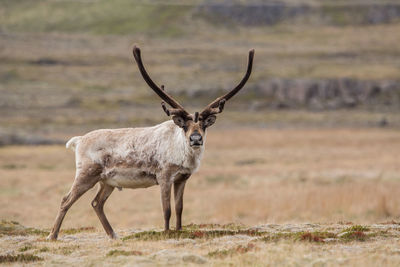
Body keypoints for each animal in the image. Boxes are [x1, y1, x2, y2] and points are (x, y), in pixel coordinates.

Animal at [46, 46, 253, 241]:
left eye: (204, 124)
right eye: (184, 125)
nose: (195, 139)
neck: (182, 153)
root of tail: (79, 140)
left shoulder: (182, 178)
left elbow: (179, 208)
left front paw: (179, 231)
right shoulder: (164, 177)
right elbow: (166, 209)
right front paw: (166, 233)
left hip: (107, 181)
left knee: (97, 203)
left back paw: (113, 235)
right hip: (86, 174)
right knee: (66, 200)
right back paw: (53, 235)